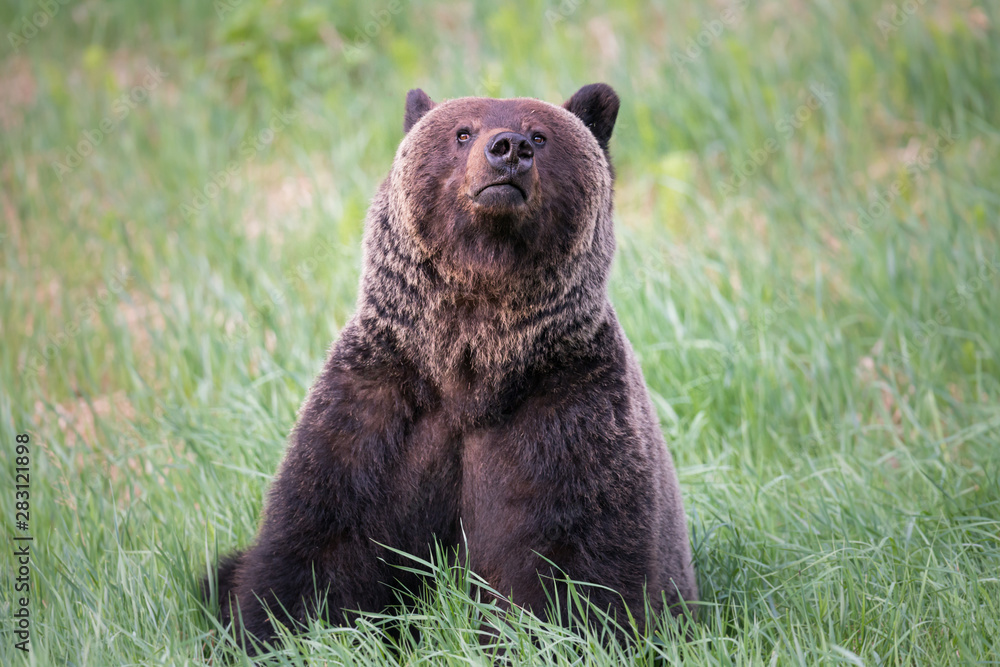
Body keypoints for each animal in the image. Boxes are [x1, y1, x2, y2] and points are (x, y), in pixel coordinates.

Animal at [205, 83, 697, 652]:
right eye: (462, 132)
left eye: (540, 136)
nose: (508, 149)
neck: (471, 366)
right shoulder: (379, 405)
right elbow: (320, 539)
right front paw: (277, 630)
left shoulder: (568, 408)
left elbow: (576, 562)